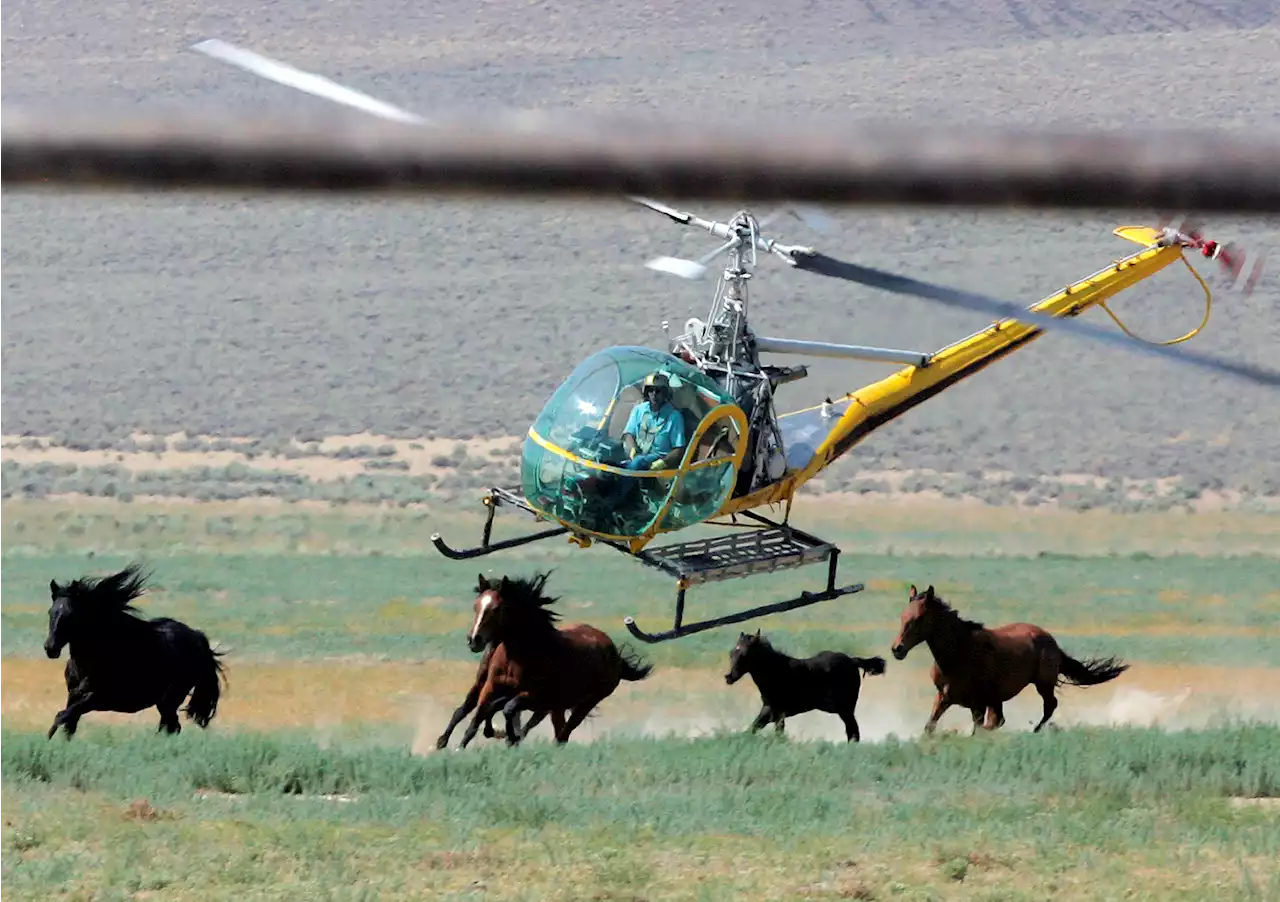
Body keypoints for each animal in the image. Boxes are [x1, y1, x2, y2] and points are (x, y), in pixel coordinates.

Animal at [41, 562, 227, 736]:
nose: (50, 648)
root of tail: (197, 637)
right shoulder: (74, 696)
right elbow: (67, 726)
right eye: (50, 611)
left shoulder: (95, 699)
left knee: (171, 726)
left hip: (170, 699)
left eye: (71, 614)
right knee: (170, 726)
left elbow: (60, 717)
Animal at [463, 570, 650, 747]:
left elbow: (508, 709)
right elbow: (477, 720)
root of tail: (615, 654)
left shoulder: (537, 696)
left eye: (497, 608)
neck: (517, 657)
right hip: (558, 707)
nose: (474, 640)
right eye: (476, 606)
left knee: (563, 735)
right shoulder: (491, 687)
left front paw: (509, 736)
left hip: (585, 703)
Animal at [727, 629, 885, 742]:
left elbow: (773, 731)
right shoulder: (770, 711)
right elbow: (754, 728)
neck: (777, 671)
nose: (728, 677)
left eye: (744, 654)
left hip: (845, 709)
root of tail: (852, 661)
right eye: (732, 652)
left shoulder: (777, 711)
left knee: (853, 731)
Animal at [890, 580, 1131, 736]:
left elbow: (981, 728)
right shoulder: (944, 697)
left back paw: (1035, 730)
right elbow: (929, 727)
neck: (959, 653)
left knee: (1049, 706)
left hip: (1043, 684)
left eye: (919, 618)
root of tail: (1050, 640)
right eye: (902, 616)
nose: (897, 649)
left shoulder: (978, 703)